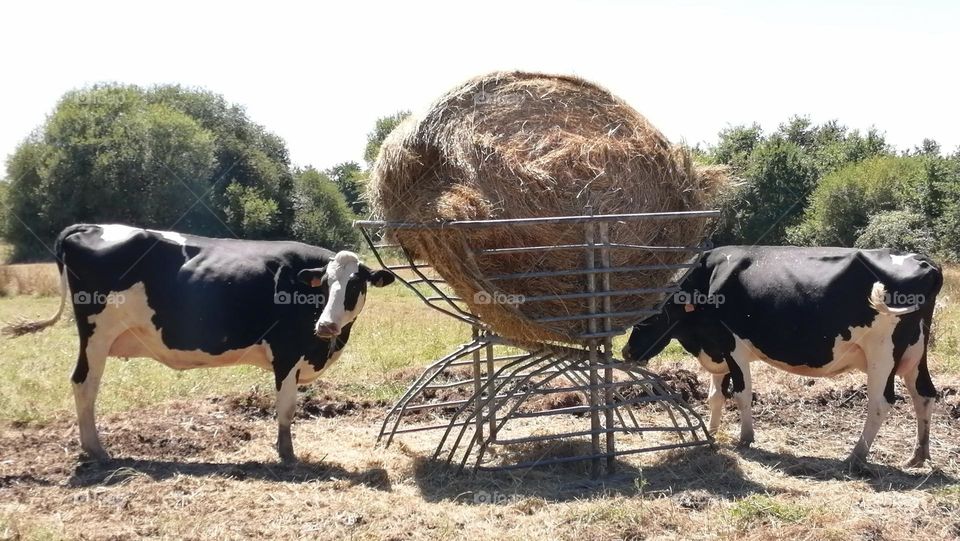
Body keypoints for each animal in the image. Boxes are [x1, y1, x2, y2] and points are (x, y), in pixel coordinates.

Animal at [620, 247, 940, 466]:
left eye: (655, 314)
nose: (626, 351)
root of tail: (925, 263)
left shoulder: (733, 346)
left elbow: (742, 394)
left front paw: (745, 438)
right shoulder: (718, 348)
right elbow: (715, 396)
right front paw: (712, 432)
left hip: (882, 354)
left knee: (880, 402)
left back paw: (856, 455)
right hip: (915, 352)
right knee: (924, 394)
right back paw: (919, 455)